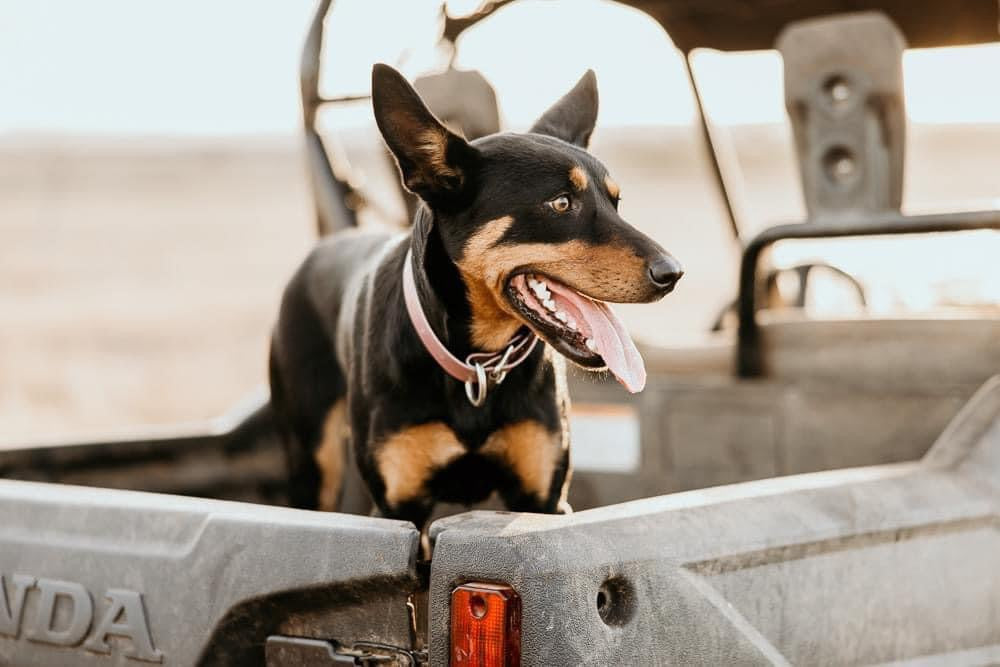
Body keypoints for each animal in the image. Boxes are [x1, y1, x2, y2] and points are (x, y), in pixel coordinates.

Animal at [270, 64, 684, 532]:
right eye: (561, 203)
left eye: (616, 202)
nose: (672, 272)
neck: (476, 363)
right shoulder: (400, 507)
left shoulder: (543, 497)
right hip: (313, 460)